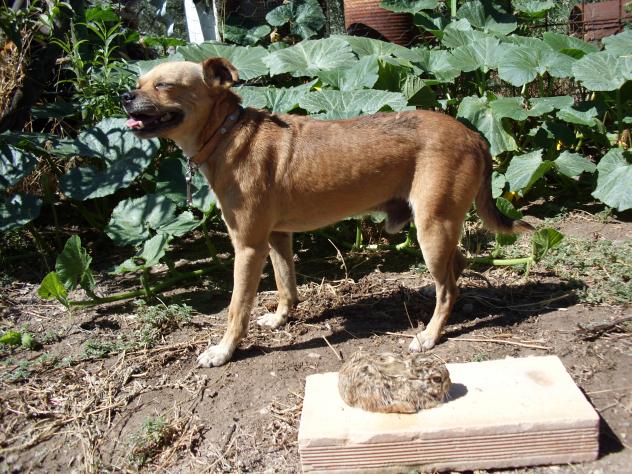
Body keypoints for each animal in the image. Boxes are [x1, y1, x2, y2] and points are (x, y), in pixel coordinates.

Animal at [122, 57, 533, 367]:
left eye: (164, 85)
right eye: (138, 81)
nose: (124, 96)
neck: (227, 133)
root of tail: (474, 134)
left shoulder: (248, 247)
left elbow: (236, 309)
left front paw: (224, 351)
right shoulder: (277, 237)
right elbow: (286, 284)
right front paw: (280, 318)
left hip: (431, 228)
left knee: (447, 288)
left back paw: (429, 335)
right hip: (441, 227)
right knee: (457, 268)